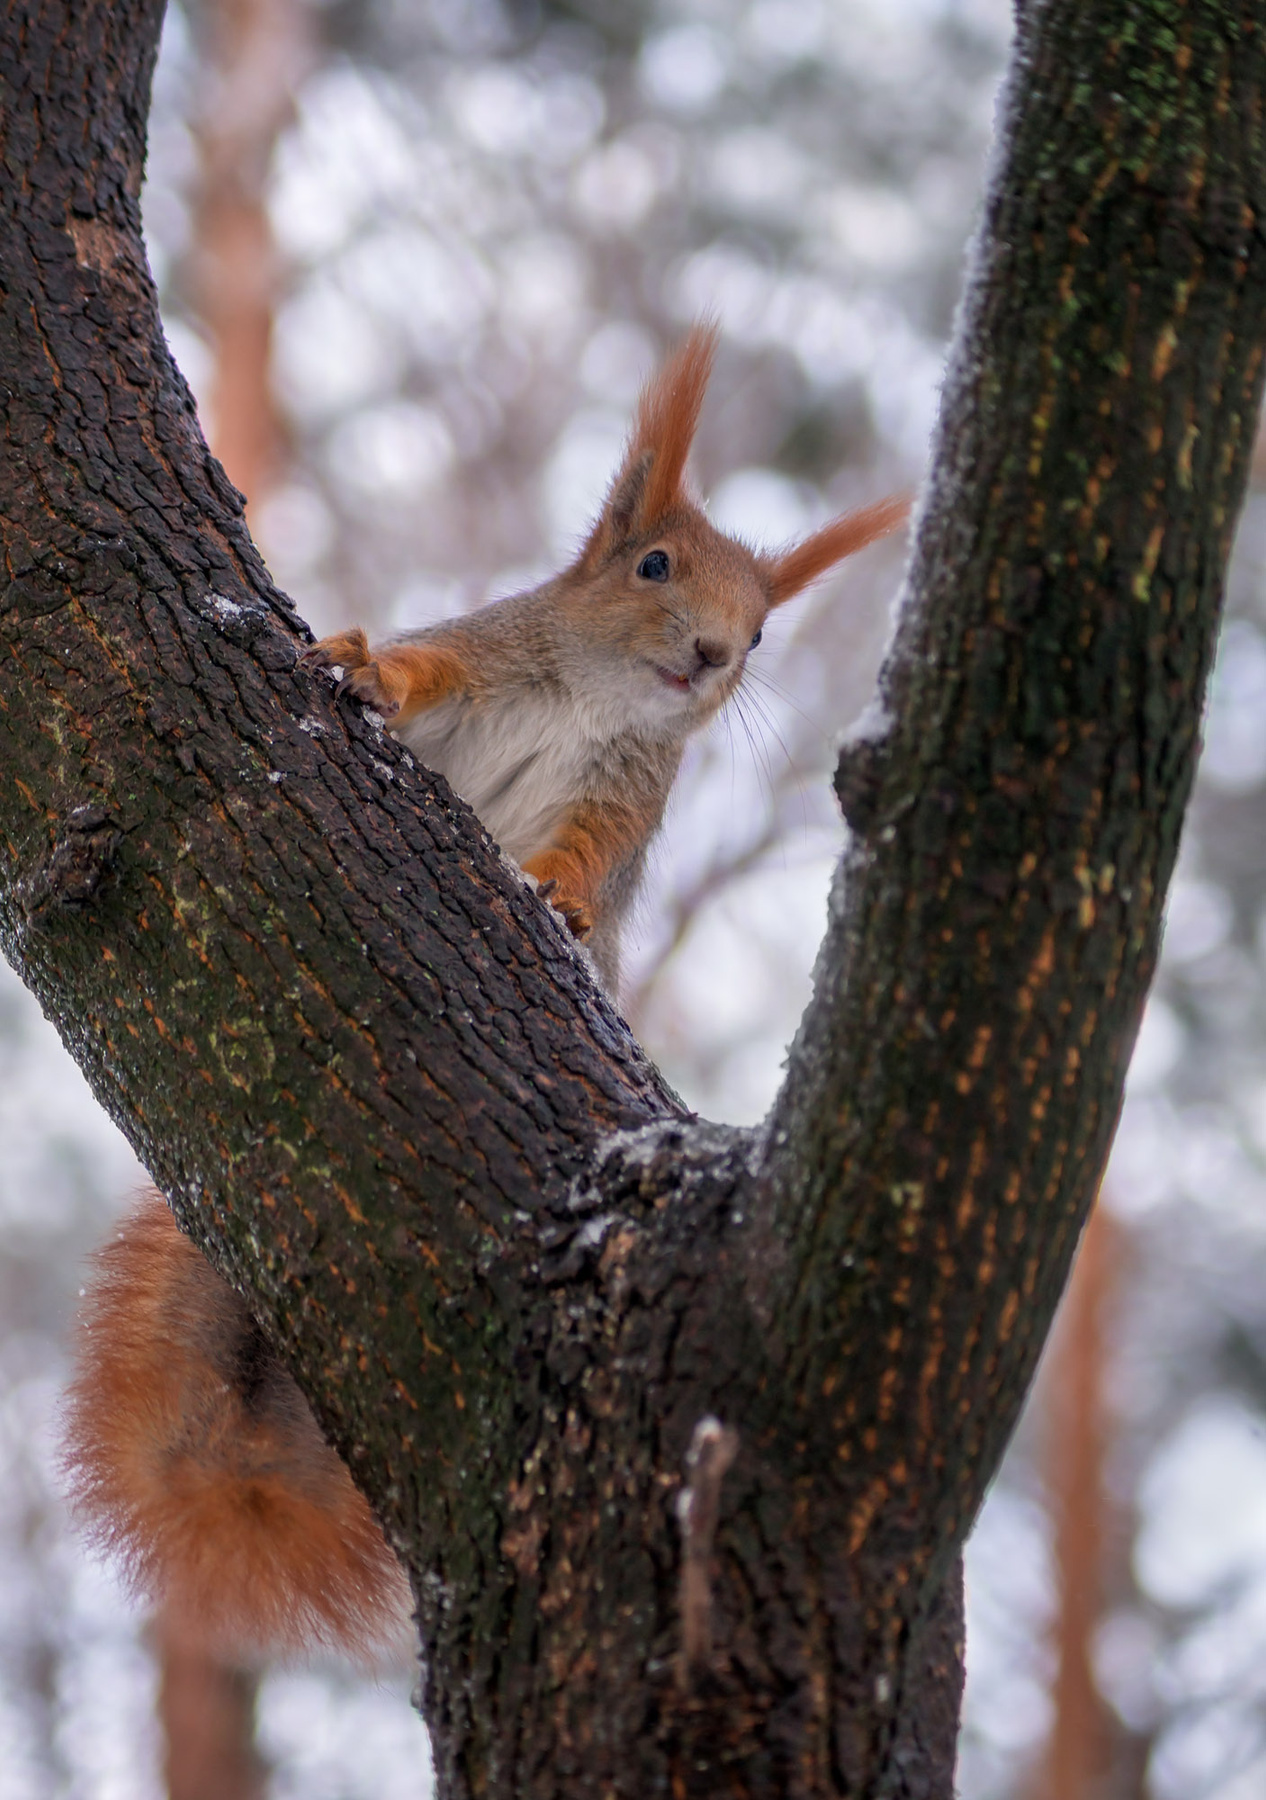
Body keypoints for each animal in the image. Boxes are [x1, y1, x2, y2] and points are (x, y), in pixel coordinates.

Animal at [62, 325, 909, 1659]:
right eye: (654, 563)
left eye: (766, 633)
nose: (715, 655)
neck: (596, 697)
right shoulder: (485, 656)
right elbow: (418, 672)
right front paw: (361, 665)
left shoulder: (624, 800)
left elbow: (586, 860)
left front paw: (558, 901)